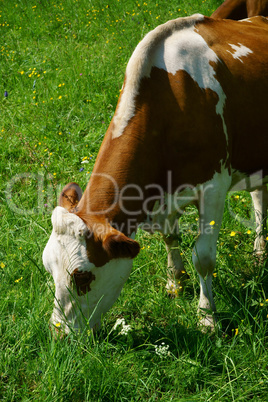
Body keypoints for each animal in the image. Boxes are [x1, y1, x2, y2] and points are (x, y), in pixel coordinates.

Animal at [42, 14, 268, 332]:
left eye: (82, 276)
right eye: (48, 268)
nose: (59, 336)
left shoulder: (213, 189)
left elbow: (204, 258)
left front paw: (207, 318)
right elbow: (171, 238)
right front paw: (176, 283)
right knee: (259, 196)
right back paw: (259, 251)